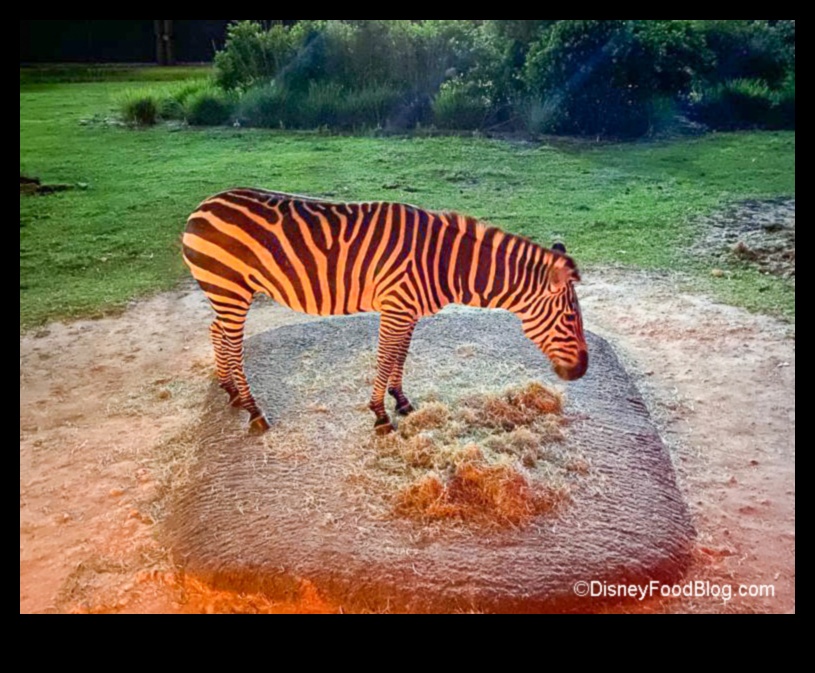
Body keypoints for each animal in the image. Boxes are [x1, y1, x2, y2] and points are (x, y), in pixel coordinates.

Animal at [180, 186, 588, 434]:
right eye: (570, 319)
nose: (582, 371)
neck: (445, 262)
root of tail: (201, 207)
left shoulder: (408, 312)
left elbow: (400, 355)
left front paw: (401, 401)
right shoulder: (396, 306)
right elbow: (385, 356)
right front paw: (379, 414)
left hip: (225, 292)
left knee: (217, 332)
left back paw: (230, 390)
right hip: (231, 289)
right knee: (233, 344)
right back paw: (253, 409)